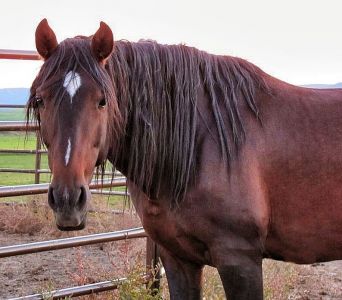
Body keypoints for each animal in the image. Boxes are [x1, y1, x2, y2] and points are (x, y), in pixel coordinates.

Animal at [27, 19, 342, 300]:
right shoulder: (178, 258)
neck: (203, 142)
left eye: (102, 100)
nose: (67, 200)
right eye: (41, 100)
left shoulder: (240, 259)